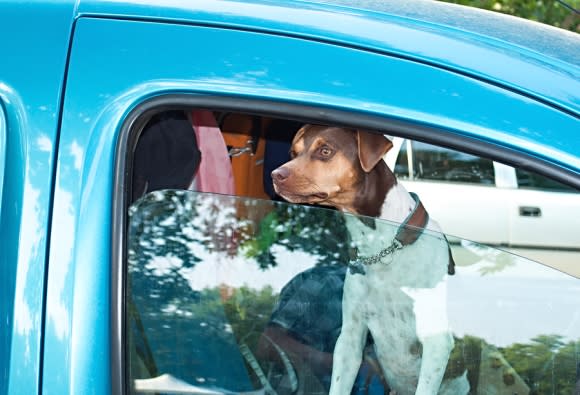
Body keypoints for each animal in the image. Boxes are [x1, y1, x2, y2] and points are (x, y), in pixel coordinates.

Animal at [270, 125, 466, 394]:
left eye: (325, 150)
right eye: (293, 152)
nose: (275, 175)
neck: (385, 248)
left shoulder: (436, 341)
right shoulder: (350, 338)